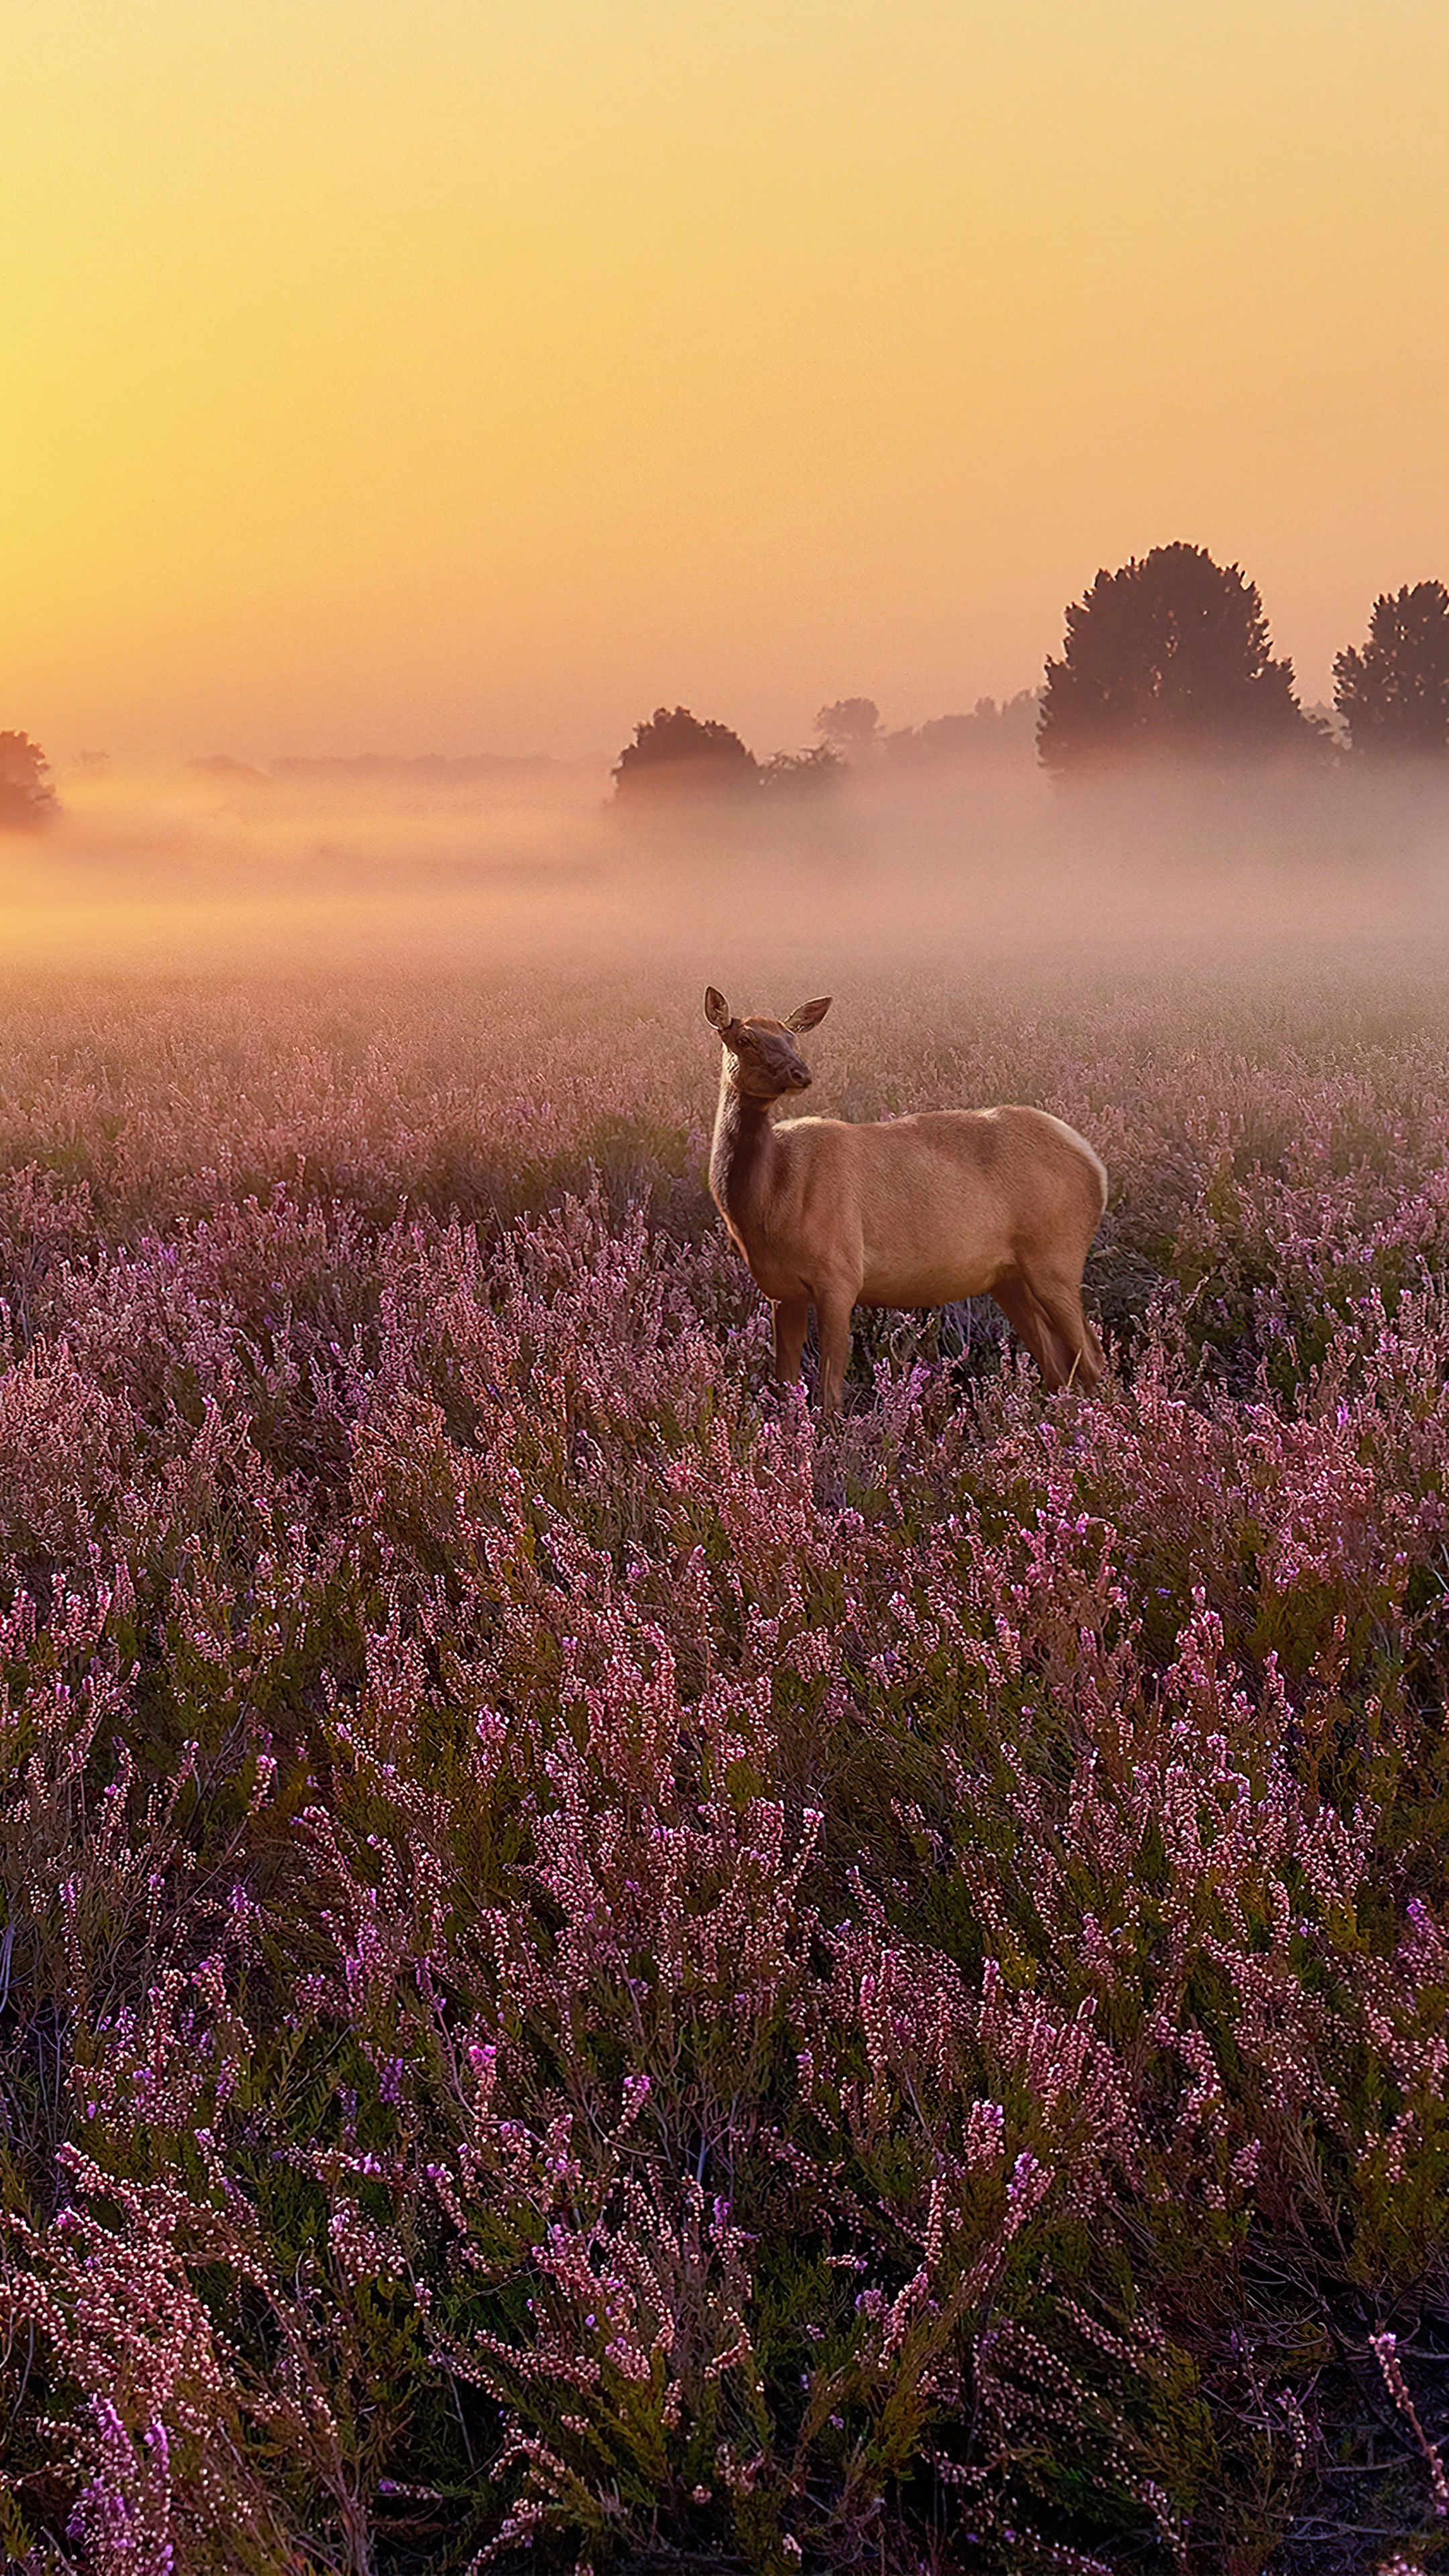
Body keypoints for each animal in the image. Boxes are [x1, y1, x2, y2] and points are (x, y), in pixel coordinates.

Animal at [704, 987, 1107, 1414]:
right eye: (744, 1039)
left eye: (791, 1037)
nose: (801, 1073)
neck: (766, 1209)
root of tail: (1096, 1166)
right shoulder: (780, 1290)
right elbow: (785, 1387)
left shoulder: (840, 1272)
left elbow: (830, 1394)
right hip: (1009, 1276)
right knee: (1059, 1365)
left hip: (1056, 1254)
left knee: (1091, 1357)